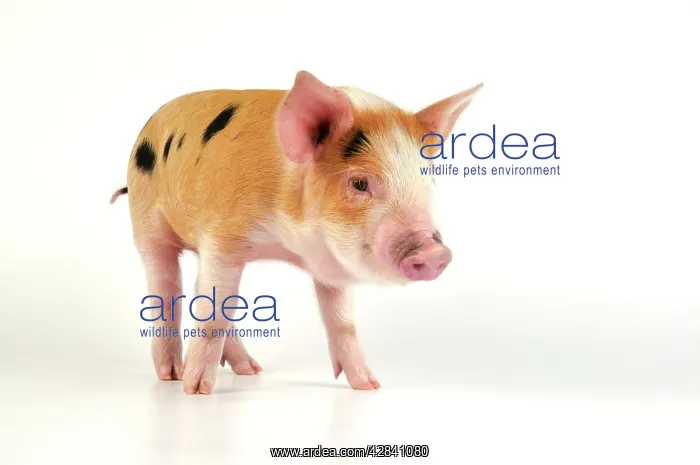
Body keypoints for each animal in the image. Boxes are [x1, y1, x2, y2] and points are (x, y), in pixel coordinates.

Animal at [110, 70, 482, 394]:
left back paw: (250, 369)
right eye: (359, 183)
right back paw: (172, 375)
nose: (435, 252)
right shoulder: (222, 237)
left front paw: (369, 386)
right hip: (145, 219)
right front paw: (196, 392)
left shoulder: (330, 263)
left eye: (428, 179)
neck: (284, 240)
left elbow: (342, 322)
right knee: (165, 284)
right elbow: (214, 313)